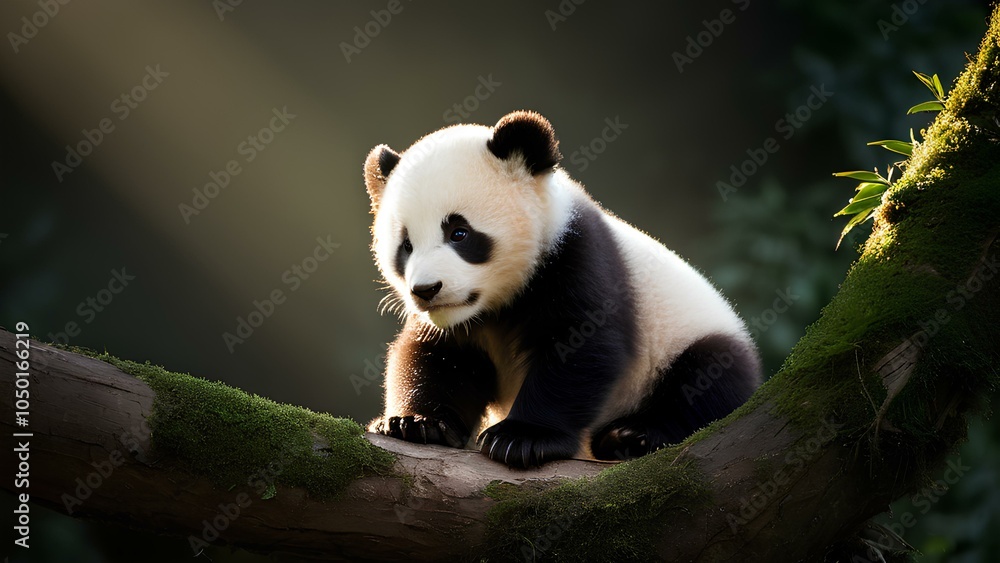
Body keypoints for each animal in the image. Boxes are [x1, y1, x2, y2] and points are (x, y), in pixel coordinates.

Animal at [364, 110, 761, 469]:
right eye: (406, 246)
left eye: (459, 232)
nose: (426, 290)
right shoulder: (455, 322)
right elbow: (439, 357)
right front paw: (416, 423)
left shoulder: (577, 258)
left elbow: (581, 346)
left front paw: (521, 437)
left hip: (687, 341)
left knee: (706, 380)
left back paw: (632, 438)